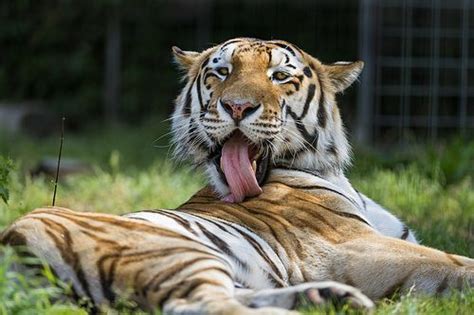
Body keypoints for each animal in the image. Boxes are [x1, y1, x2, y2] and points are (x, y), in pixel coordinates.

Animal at [0, 38, 474, 314]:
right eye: (221, 72)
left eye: (279, 76)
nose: (237, 106)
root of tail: (13, 240)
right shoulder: (353, 249)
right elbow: (457, 263)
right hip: (174, 252)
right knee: (203, 306)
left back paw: (326, 298)